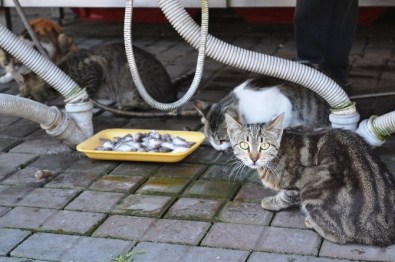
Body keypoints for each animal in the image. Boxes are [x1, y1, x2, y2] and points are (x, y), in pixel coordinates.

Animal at [224, 113, 395, 247]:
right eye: (244, 145)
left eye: (265, 145)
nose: (254, 158)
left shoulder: (296, 182)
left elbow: (286, 196)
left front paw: (272, 202)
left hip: (314, 183)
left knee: (341, 236)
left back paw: (311, 222)